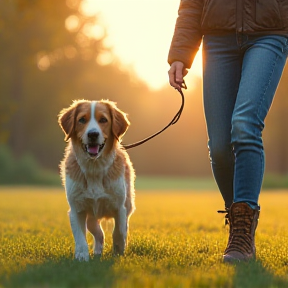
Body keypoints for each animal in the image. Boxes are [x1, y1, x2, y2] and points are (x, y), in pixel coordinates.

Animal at [58, 99, 136, 260]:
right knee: (99, 234)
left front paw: (119, 250)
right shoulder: (76, 209)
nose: (93, 134)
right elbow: (80, 237)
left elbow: (119, 231)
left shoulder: (120, 207)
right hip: (91, 220)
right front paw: (82, 256)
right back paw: (97, 252)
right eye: (82, 119)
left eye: (103, 120)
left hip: (128, 205)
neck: (94, 168)